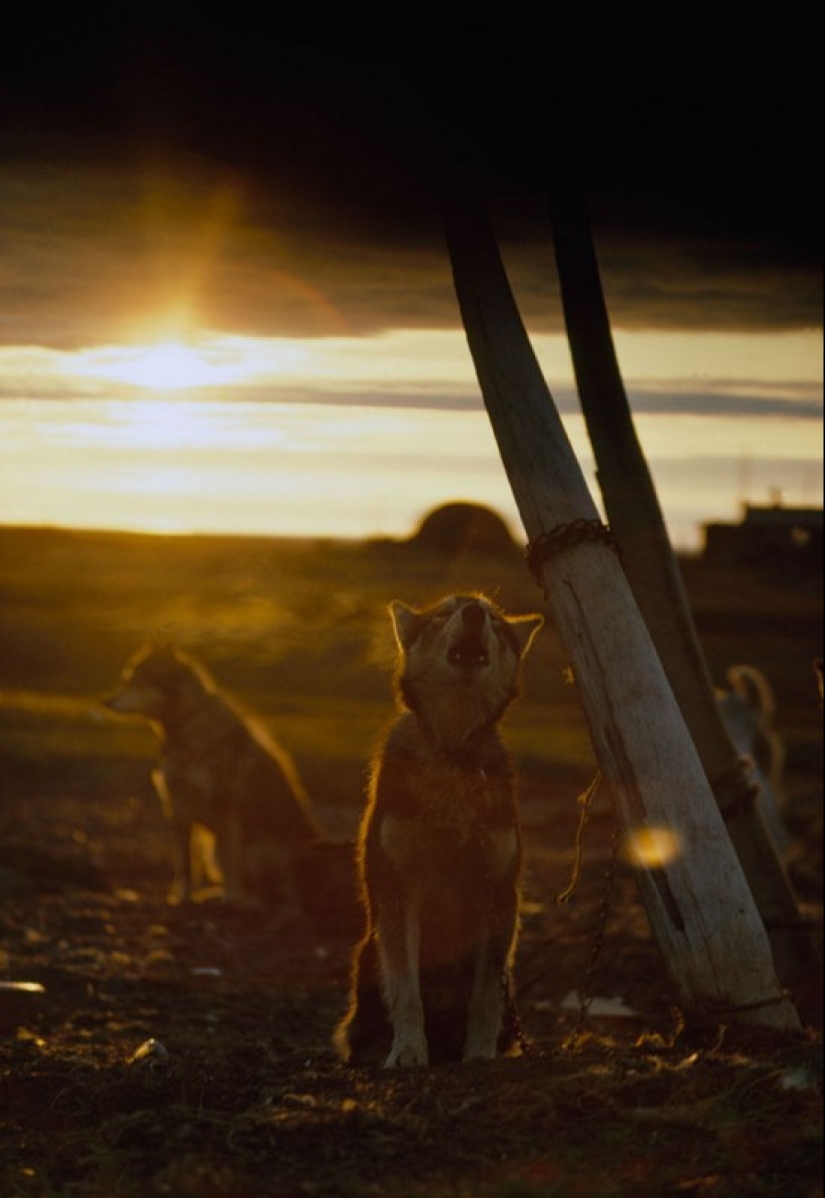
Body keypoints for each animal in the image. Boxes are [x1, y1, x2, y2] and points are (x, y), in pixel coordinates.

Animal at [335, 591, 541, 1068]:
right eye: (446, 612)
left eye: (495, 621)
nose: (474, 613)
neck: (453, 753)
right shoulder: (398, 890)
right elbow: (406, 991)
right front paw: (408, 1051)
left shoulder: (499, 895)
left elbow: (485, 999)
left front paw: (480, 1055)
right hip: (369, 950)